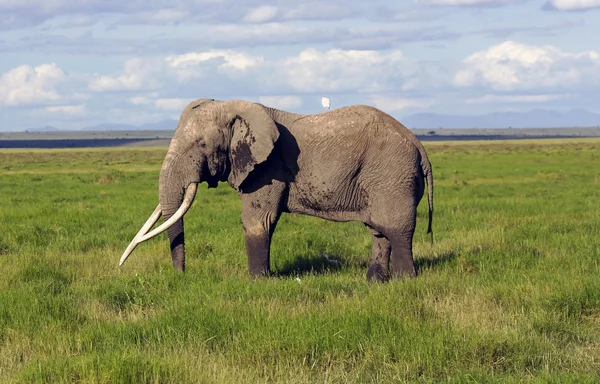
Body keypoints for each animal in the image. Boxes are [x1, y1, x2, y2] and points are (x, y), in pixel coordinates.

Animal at [120, 97, 432, 280]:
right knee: (379, 229)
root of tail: (419, 145)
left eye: (202, 145)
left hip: (392, 174)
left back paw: (405, 282)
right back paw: (375, 282)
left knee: (397, 229)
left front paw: (257, 282)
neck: (235, 107)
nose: (181, 277)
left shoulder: (266, 168)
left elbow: (258, 221)